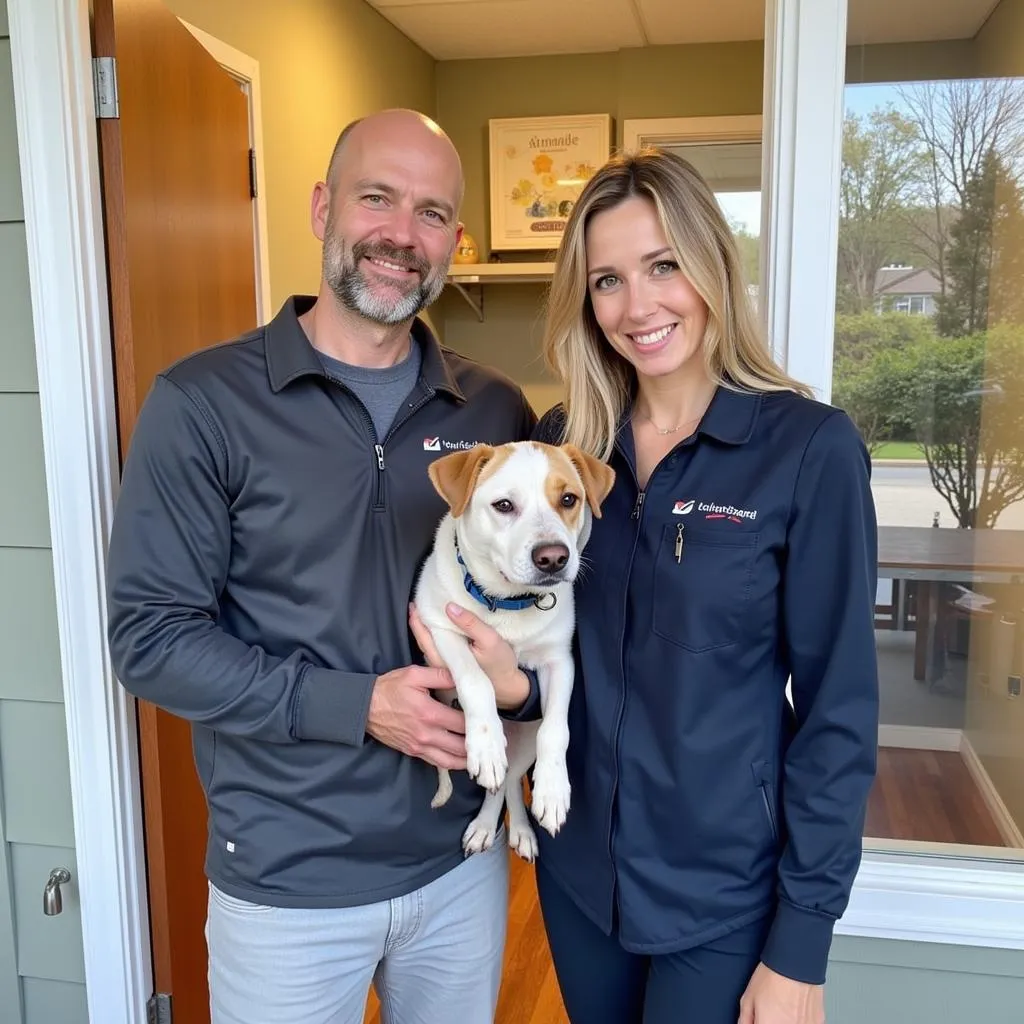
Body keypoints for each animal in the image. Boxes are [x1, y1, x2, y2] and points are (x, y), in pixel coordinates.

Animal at [409, 444, 614, 860]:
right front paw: (486, 744)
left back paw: (512, 828)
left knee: (508, 782)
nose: (553, 558)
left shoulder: (559, 662)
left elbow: (557, 730)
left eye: (569, 499)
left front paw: (553, 790)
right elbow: (476, 681)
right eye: (503, 505)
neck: (507, 603)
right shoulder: (440, 630)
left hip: (523, 741)